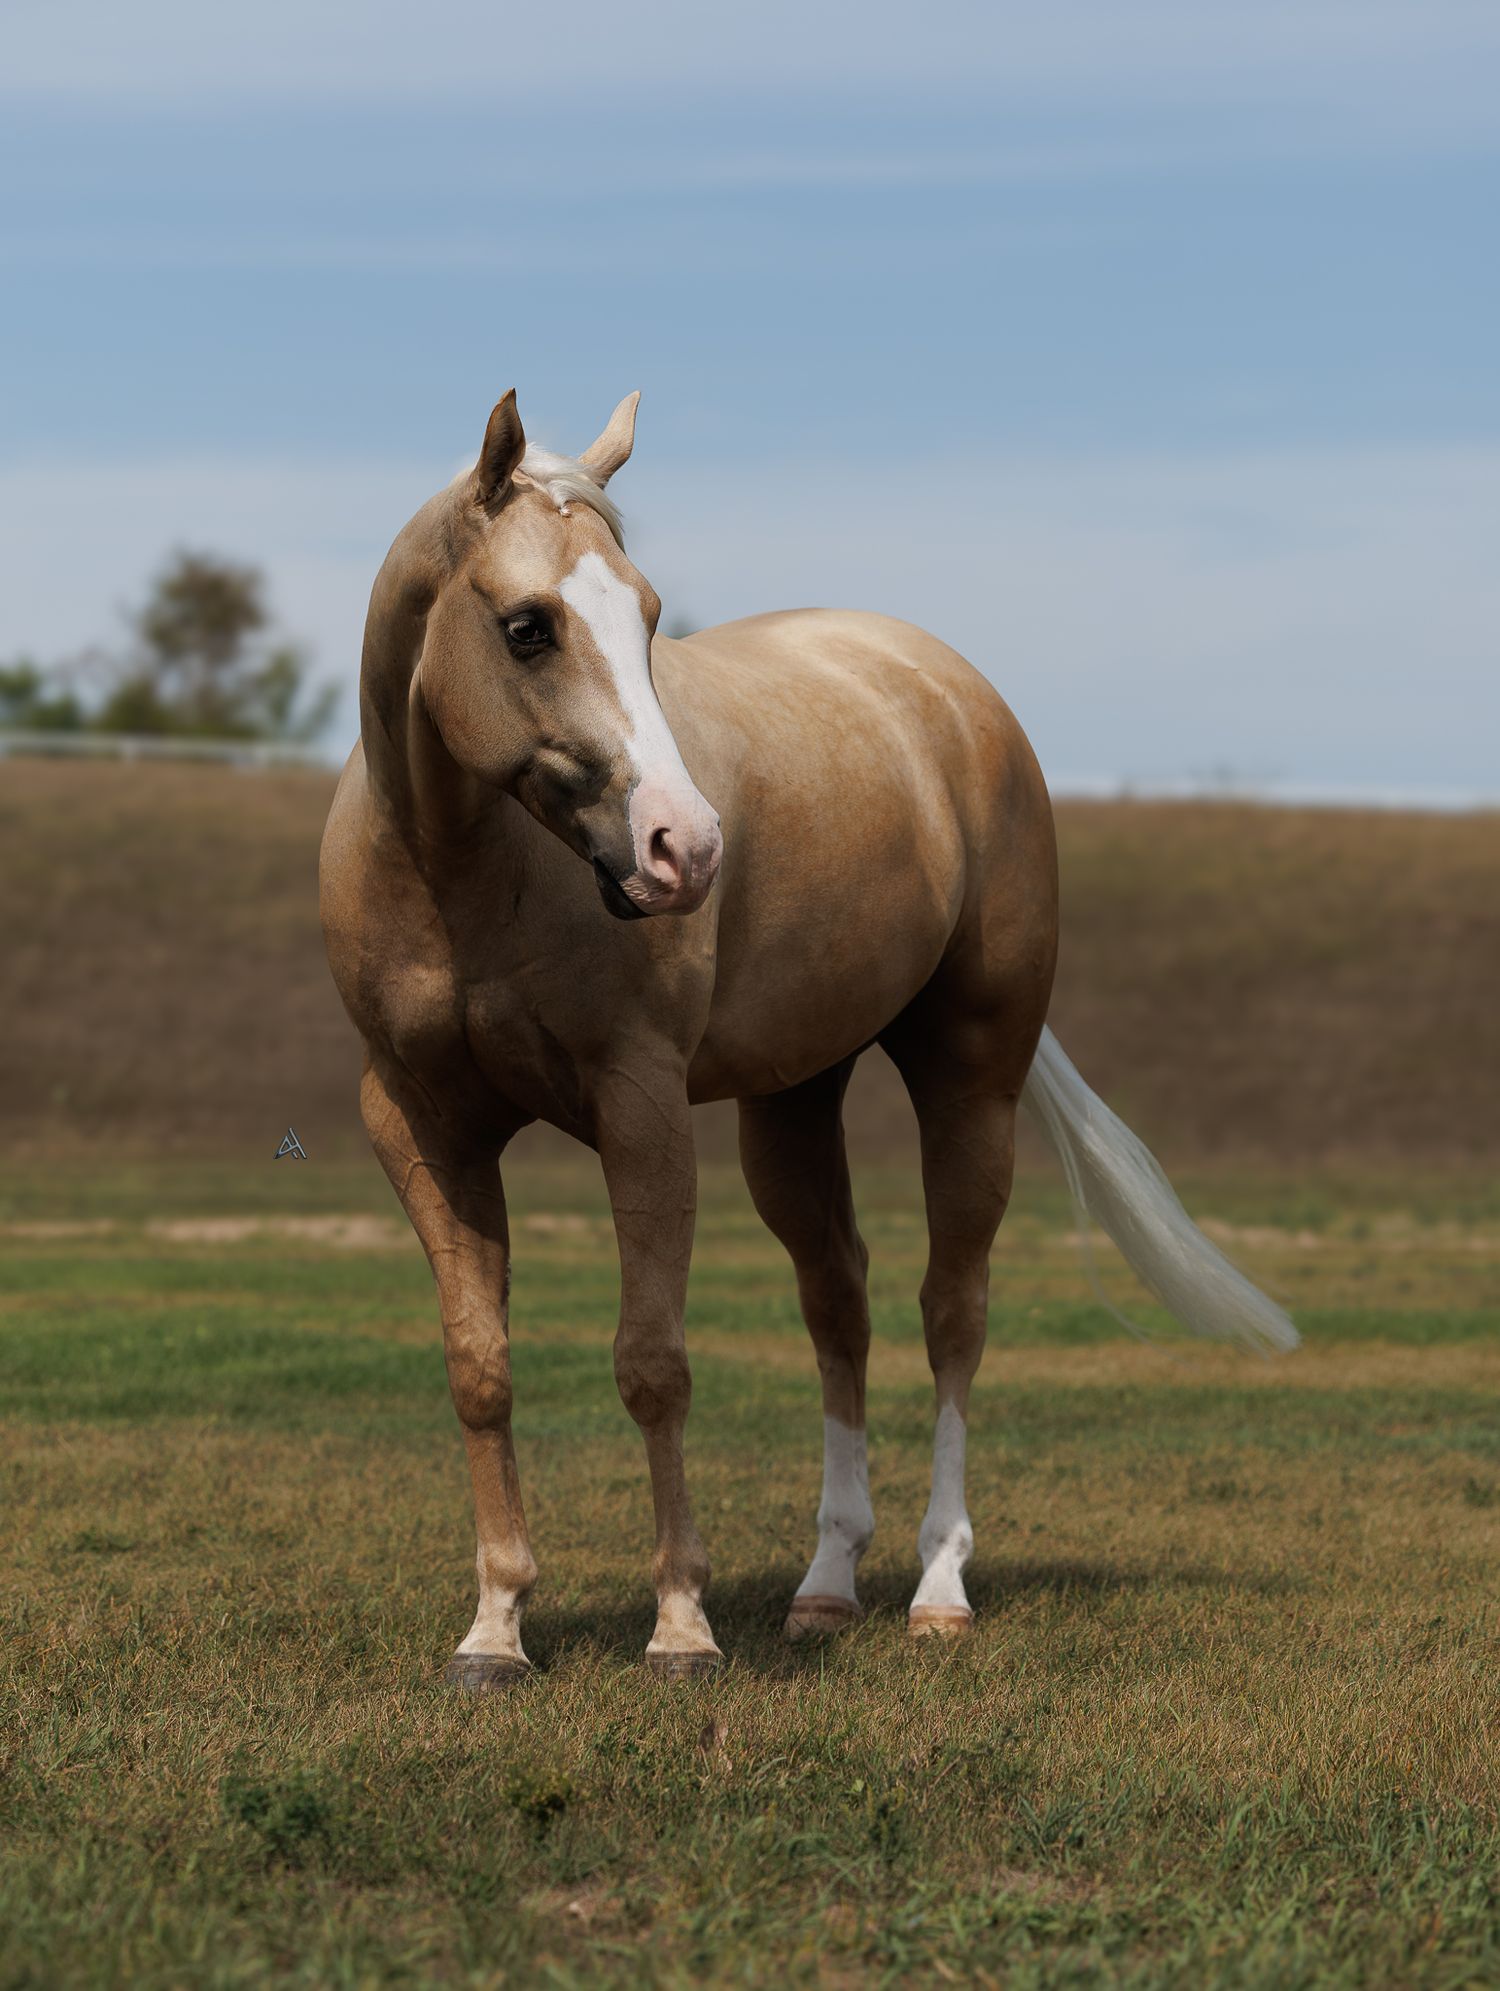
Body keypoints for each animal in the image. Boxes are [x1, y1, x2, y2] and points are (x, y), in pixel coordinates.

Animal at [319, 389, 1296, 1685]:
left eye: (649, 616)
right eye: (526, 627)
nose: (686, 847)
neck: (463, 880)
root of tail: (947, 687)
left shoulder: (639, 1108)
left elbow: (652, 1360)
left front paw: (681, 1625)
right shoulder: (423, 1124)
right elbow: (480, 1365)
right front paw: (495, 1627)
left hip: (970, 1079)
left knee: (952, 1309)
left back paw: (939, 1585)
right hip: (790, 1103)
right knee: (841, 1304)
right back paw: (826, 1584)